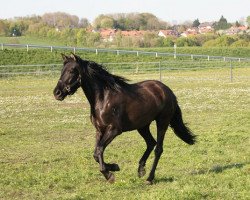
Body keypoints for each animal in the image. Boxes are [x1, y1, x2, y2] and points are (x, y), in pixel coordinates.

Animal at [53, 53, 196, 184]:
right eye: (61, 71)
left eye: (71, 71)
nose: (57, 93)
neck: (103, 99)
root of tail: (168, 91)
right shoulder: (99, 130)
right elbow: (96, 153)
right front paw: (114, 167)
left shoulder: (114, 130)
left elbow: (99, 150)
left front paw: (109, 174)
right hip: (142, 126)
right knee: (151, 143)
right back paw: (141, 169)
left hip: (162, 122)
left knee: (158, 149)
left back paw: (149, 178)